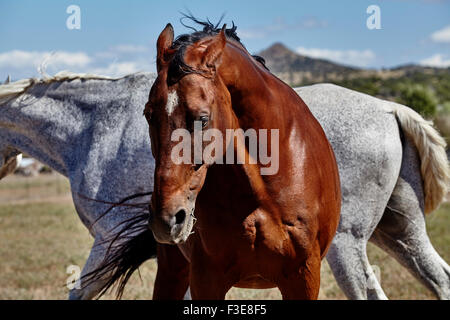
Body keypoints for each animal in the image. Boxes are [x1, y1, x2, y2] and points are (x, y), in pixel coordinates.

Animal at [0, 71, 448, 298]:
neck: (96, 125)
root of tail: (389, 107)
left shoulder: (108, 241)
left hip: (345, 247)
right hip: (400, 233)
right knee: (440, 278)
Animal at [144, 23, 342, 300]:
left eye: (202, 119)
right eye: (148, 115)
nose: (168, 219)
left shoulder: (304, 277)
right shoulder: (206, 279)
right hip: (172, 268)